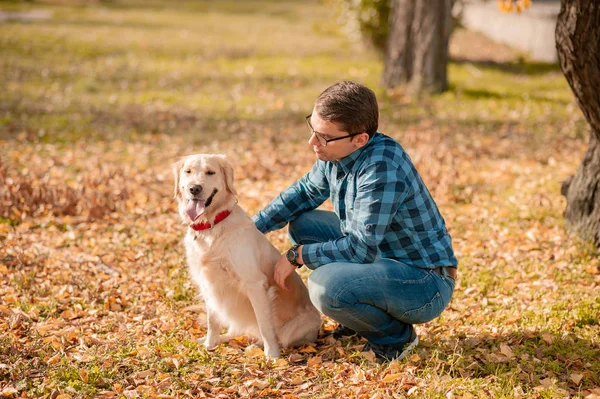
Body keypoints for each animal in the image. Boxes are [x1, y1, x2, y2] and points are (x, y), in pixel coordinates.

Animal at [172, 154, 322, 360]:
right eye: (188, 172)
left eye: (210, 172)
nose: (194, 188)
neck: (211, 227)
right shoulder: (207, 282)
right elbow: (213, 319)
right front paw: (210, 344)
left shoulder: (254, 284)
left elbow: (265, 325)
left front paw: (272, 355)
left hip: (297, 328)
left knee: (279, 337)